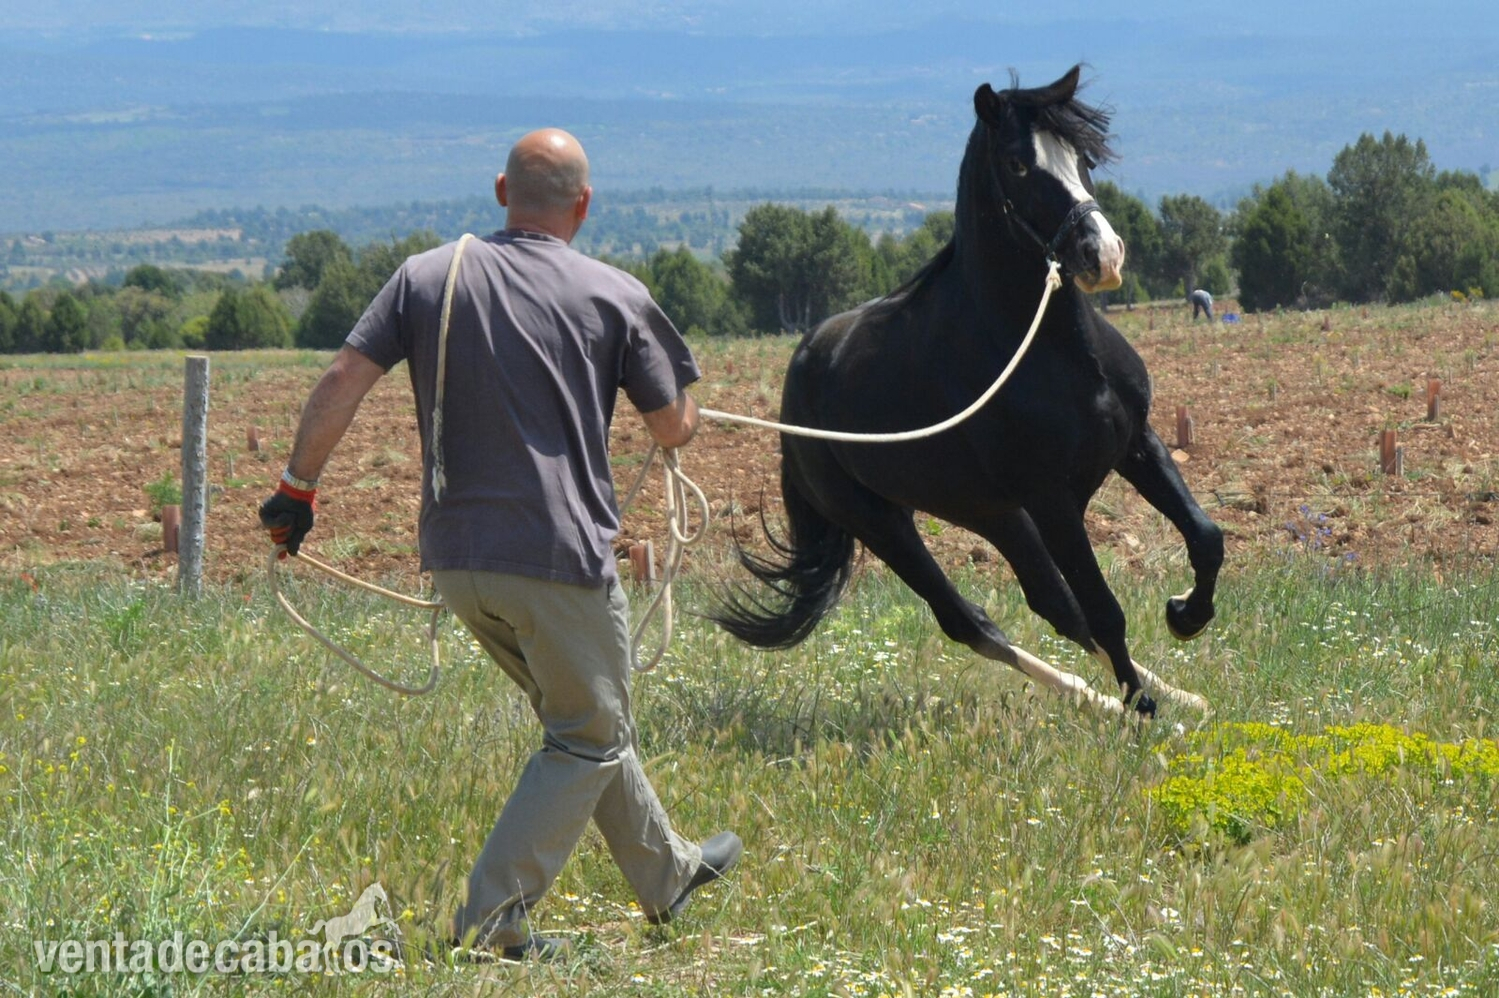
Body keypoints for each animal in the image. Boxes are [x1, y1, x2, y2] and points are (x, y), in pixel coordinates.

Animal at [711, 66, 1223, 717]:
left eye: (1084, 158)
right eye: (1018, 164)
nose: (1102, 255)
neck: (1059, 353)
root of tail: (795, 385)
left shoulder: (1138, 444)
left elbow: (1205, 538)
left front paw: (1185, 617)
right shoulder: (1052, 496)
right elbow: (1106, 610)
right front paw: (1144, 713)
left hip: (991, 514)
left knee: (1053, 606)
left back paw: (1175, 696)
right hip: (884, 523)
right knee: (973, 621)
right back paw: (1116, 703)